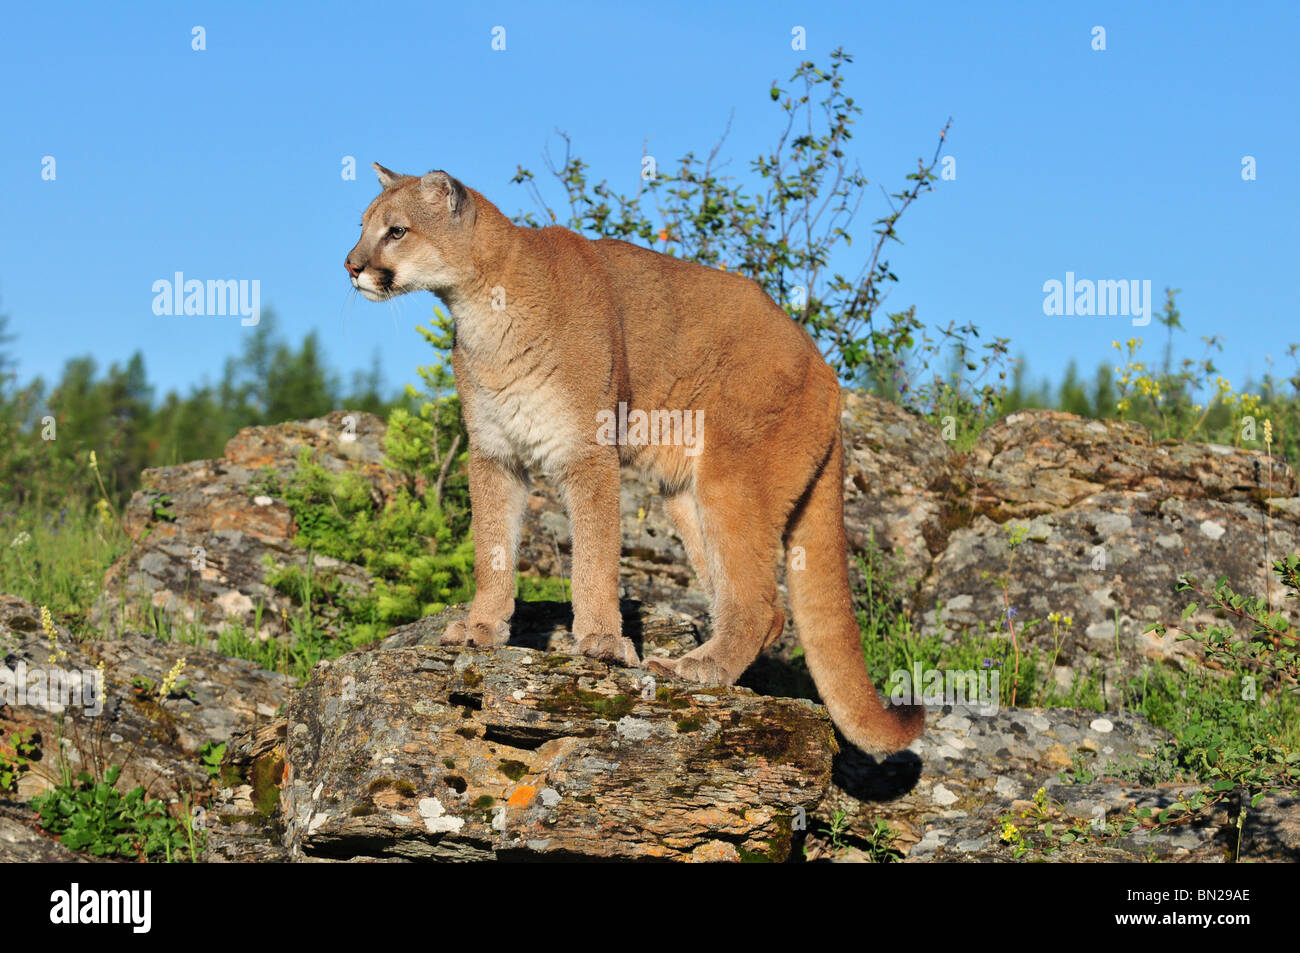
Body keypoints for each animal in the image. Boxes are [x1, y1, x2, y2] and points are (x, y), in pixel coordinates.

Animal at [345, 165, 925, 759]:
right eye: (363, 226)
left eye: (396, 231)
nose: (351, 266)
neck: (482, 307)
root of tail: (825, 369)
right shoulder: (494, 456)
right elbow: (493, 550)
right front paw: (481, 628)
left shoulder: (587, 451)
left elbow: (595, 556)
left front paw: (601, 642)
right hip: (688, 499)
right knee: (759, 605)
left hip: (733, 479)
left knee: (763, 605)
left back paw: (699, 668)